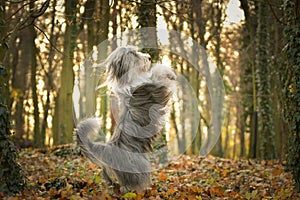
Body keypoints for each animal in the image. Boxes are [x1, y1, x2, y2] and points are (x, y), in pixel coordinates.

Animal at [76, 45, 177, 192]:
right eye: (134, 54)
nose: (149, 57)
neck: (130, 79)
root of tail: (108, 150)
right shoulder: (153, 87)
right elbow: (157, 71)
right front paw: (170, 73)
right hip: (139, 167)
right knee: (133, 183)